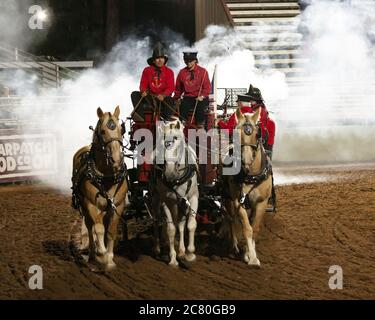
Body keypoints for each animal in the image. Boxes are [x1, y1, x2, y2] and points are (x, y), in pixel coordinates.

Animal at [71, 106, 129, 272]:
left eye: (121, 130)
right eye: (103, 131)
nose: (116, 159)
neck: (107, 176)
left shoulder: (118, 206)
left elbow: (110, 231)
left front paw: (110, 259)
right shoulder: (91, 204)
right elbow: (98, 229)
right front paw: (102, 256)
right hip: (84, 206)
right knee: (90, 227)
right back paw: (92, 255)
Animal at [152, 119, 201, 266]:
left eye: (177, 139)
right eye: (162, 142)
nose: (169, 172)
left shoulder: (193, 198)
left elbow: (190, 225)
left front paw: (189, 253)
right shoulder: (166, 202)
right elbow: (170, 229)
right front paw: (173, 259)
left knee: (181, 223)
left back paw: (182, 251)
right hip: (156, 198)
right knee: (156, 220)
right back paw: (157, 248)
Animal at [223, 109, 274, 266]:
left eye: (257, 134)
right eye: (235, 133)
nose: (246, 161)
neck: (250, 176)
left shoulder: (261, 203)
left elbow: (254, 228)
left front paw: (249, 254)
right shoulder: (237, 201)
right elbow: (247, 228)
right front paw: (251, 257)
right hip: (227, 199)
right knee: (230, 219)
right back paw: (234, 246)